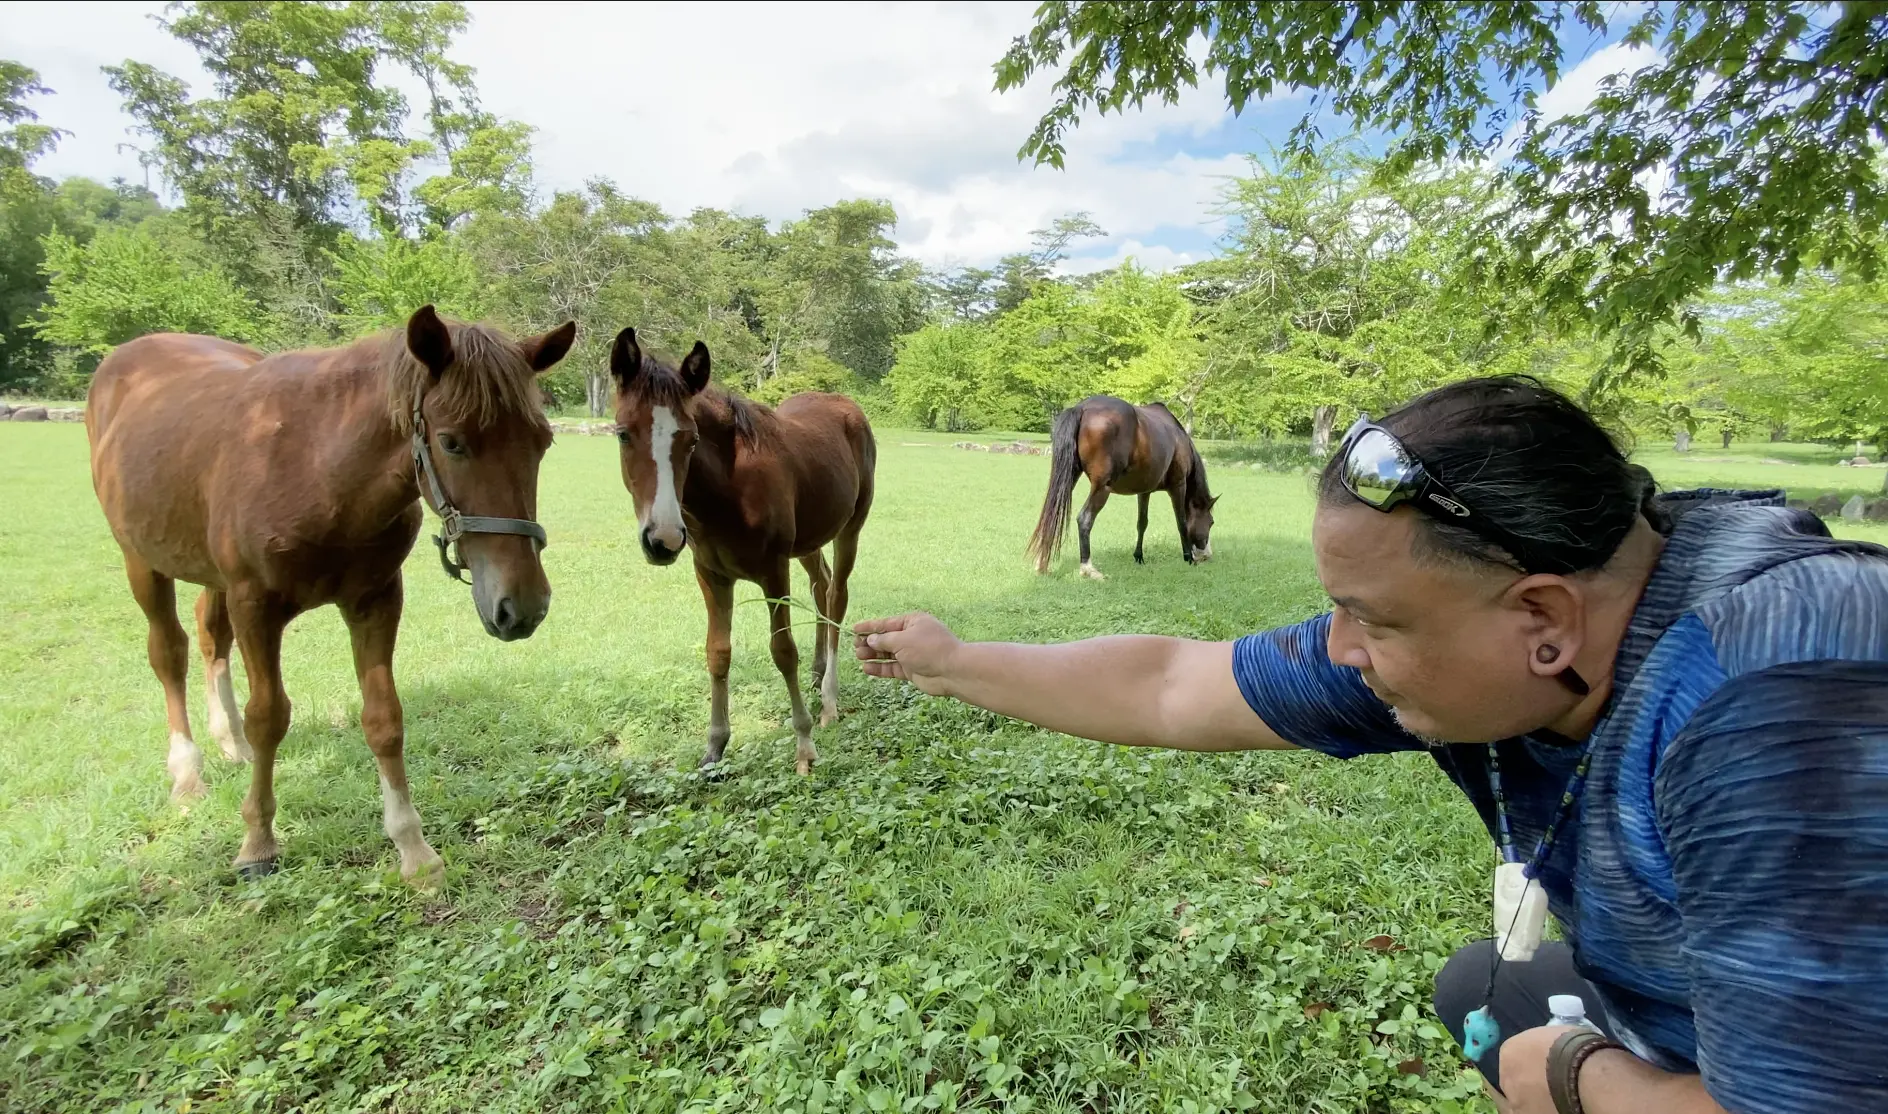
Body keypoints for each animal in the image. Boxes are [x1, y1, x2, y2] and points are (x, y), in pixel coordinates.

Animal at [86, 305, 573, 891]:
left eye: (542, 442)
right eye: (452, 441)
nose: (522, 607)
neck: (320, 466)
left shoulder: (376, 598)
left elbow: (384, 719)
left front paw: (414, 850)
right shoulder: (255, 604)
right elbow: (269, 716)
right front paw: (257, 842)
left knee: (210, 639)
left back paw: (230, 743)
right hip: (141, 560)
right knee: (170, 653)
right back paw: (187, 775)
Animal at [611, 326, 876, 774]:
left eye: (692, 439)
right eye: (623, 433)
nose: (663, 540)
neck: (728, 492)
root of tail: (847, 405)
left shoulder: (774, 571)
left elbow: (783, 651)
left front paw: (804, 746)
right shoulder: (711, 574)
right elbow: (717, 652)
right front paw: (715, 747)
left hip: (850, 529)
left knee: (836, 595)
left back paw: (828, 700)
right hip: (808, 540)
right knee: (820, 587)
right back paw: (819, 674)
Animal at [1027, 394, 1215, 585]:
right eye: (1211, 522)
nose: (1206, 555)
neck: (1179, 439)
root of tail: (1082, 407)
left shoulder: (1144, 492)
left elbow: (1142, 523)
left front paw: (1139, 557)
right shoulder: (1178, 486)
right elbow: (1181, 522)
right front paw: (1188, 558)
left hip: (1069, 477)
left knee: (1051, 513)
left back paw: (1042, 564)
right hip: (1102, 488)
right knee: (1084, 519)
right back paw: (1088, 569)